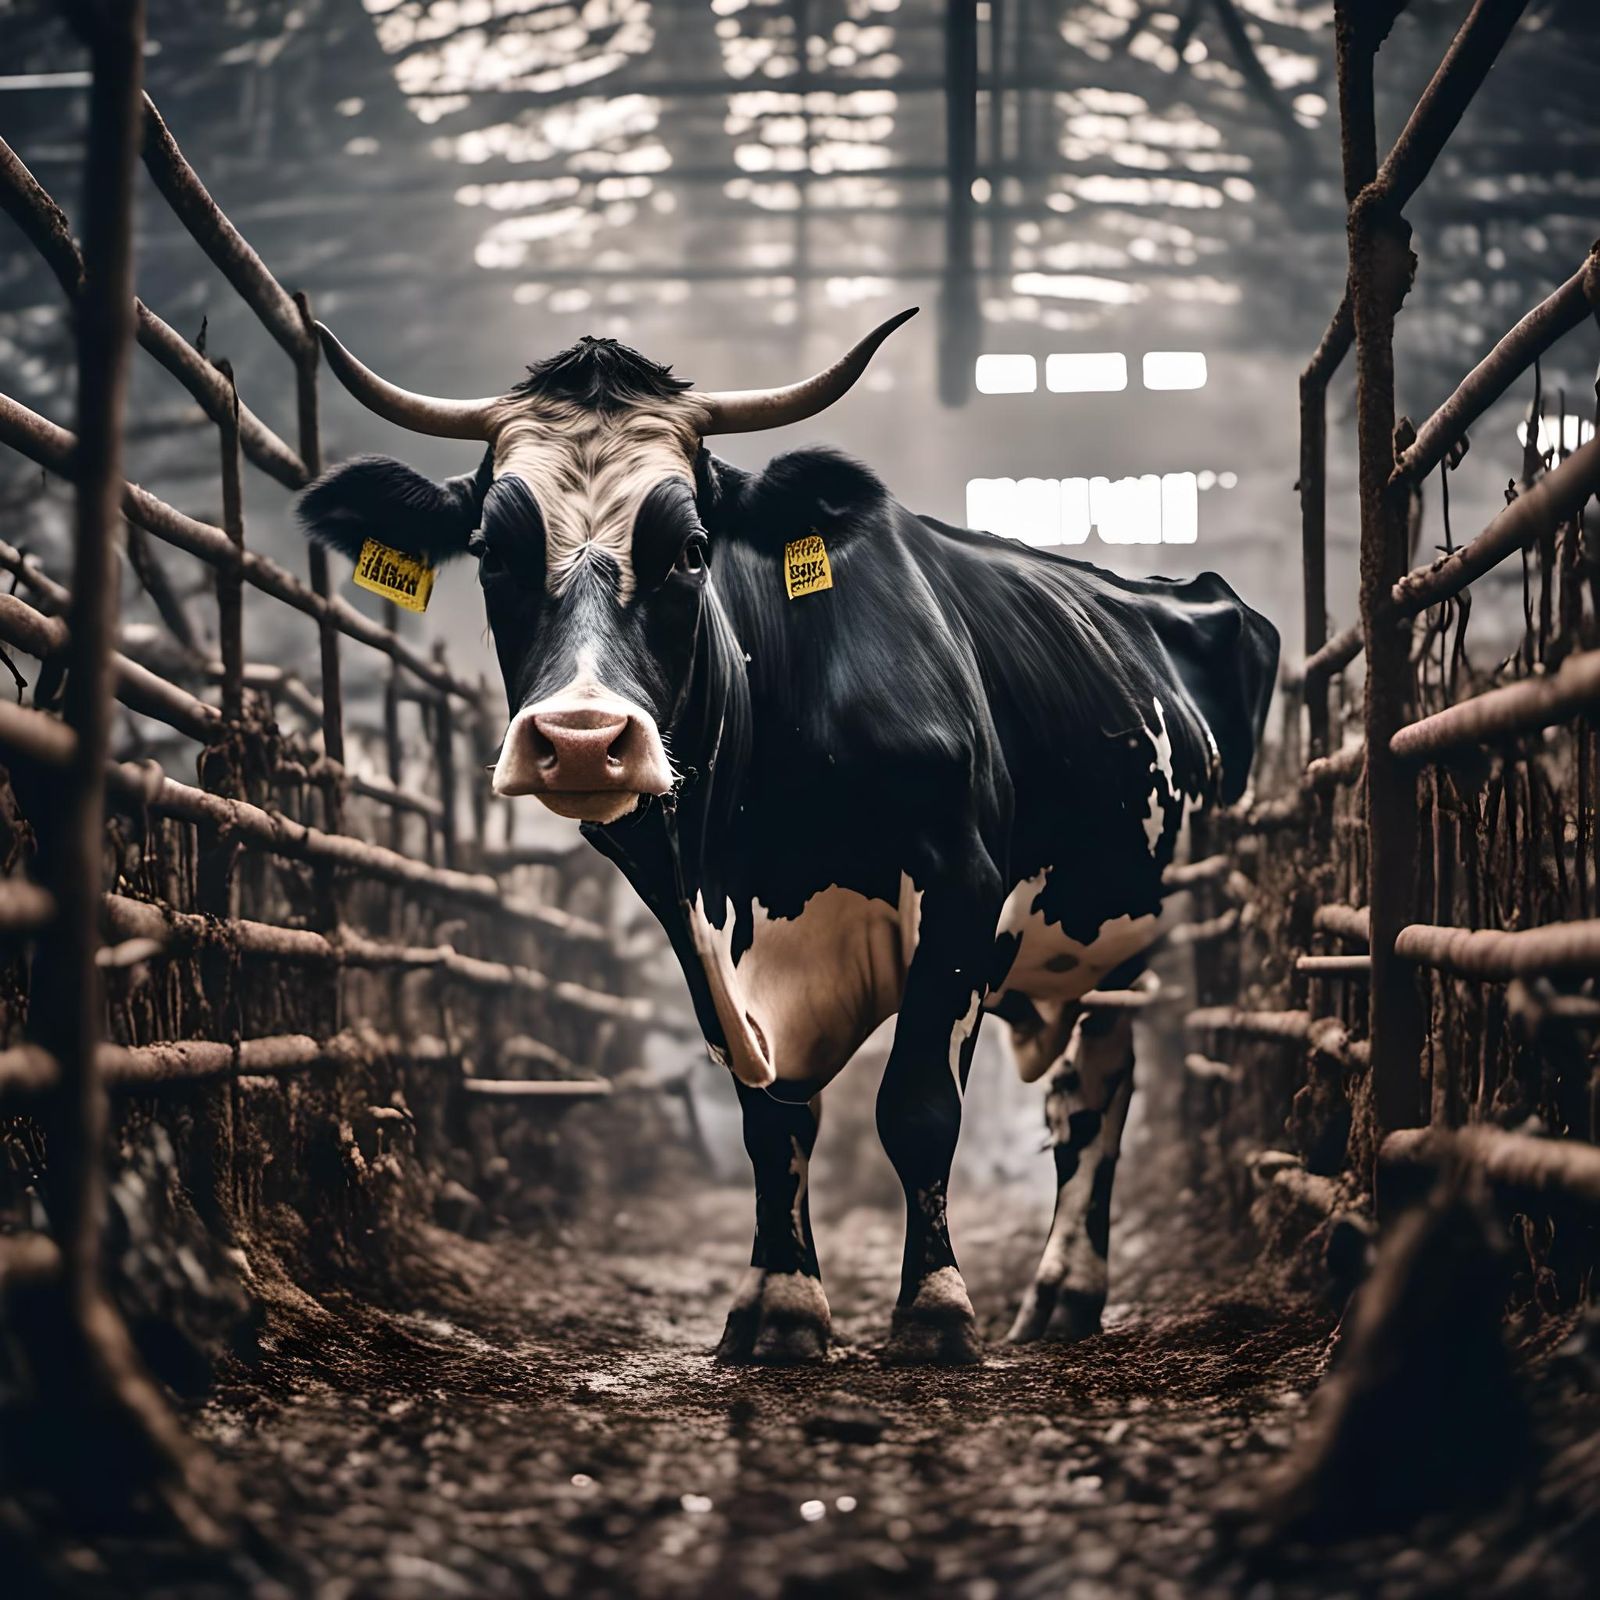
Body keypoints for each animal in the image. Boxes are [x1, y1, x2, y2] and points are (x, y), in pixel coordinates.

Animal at [297, 311, 1278, 1364]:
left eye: (692, 550)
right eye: (489, 552)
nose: (584, 740)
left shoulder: (965, 890)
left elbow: (917, 1108)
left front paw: (934, 1311)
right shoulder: (695, 927)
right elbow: (772, 1124)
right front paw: (780, 1305)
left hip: (1135, 935)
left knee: (1101, 1094)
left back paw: (1068, 1290)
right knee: (1075, 1097)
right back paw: (1057, 1297)